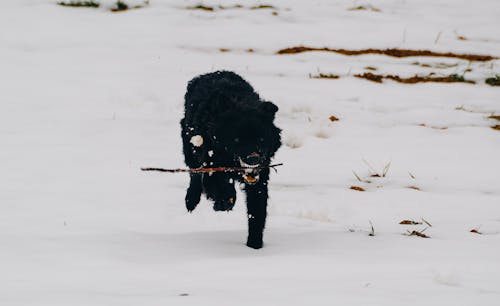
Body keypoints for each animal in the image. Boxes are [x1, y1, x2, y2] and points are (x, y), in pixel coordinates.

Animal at [180, 71, 282, 249]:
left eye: (262, 139)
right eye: (237, 140)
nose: (253, 159)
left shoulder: (260, 180)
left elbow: (256, 214)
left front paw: (254, 246)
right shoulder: (211, 166)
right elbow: (219, 188)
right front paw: (222, 203)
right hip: (190, 148)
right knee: (194, 174)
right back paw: (191, 201)